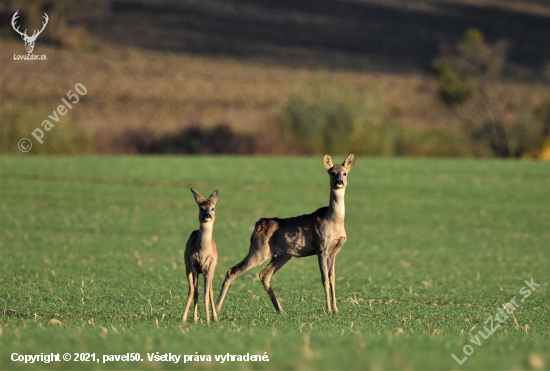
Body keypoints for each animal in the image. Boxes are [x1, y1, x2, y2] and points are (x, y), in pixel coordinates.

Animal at [184, 189, 221, 322]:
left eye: (213, 208)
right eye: (201, 208)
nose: (207, 215)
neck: (203, 251)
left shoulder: (209, 267)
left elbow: (206, 294)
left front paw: (208, 319)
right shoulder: (194, 266)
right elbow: (196, 293)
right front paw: (194, 318)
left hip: (212, 270)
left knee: (210, 291)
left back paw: (215, 317)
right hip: (187, 268)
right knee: (190, 291)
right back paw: (186, 317)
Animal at [217, 154, 358, 314]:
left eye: (345, 173)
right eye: (332, 173)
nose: (339, 182)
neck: (334, 221)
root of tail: (258, 224)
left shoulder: (334, 250)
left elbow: (332, 278)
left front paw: (335, 309)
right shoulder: (321, 247)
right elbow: (324, 279)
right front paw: (328, 310)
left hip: (282, 255)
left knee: (264, 275)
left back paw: (280, 310)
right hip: (258, 250)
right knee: (232, 270)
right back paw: (217, 308)